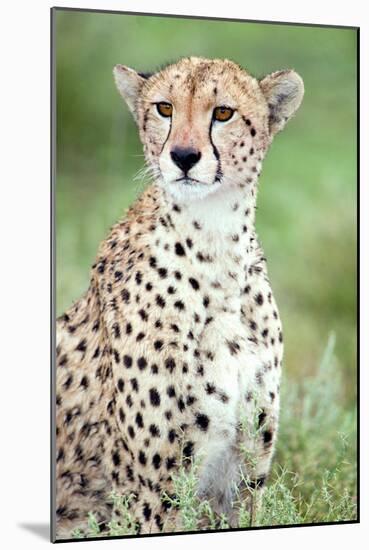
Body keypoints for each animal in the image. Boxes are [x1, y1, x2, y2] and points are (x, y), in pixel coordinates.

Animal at [54, 57, 302, 544]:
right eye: (164, 107)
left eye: (223, 113)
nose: (183, 156)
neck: (215, 249)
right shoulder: (157, 493)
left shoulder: (244, 474)